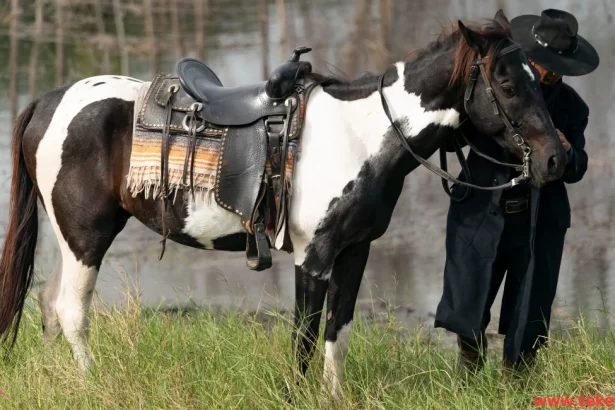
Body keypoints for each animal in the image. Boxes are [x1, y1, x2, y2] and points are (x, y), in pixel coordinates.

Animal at [1, 11, 568, 398]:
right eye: (507, 84)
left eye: (540, 81)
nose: (558, 159)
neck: (362, 136)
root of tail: (49, 100)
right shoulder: (312, 258)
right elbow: (304, 336)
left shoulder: (354, 252)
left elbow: (337, 332)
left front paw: (334, 398)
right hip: (87, 235)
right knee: (72, 310)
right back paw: (91, 382)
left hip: (70, 238)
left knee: (49, 305)